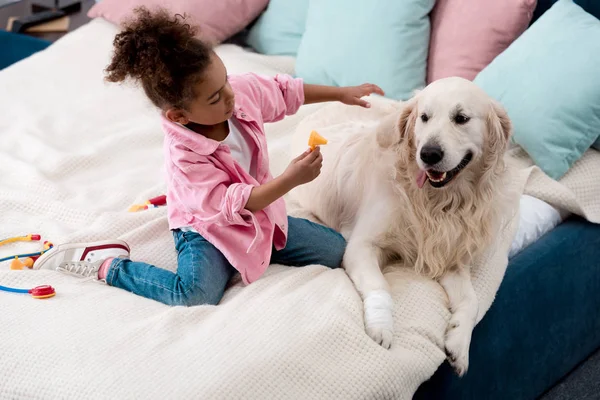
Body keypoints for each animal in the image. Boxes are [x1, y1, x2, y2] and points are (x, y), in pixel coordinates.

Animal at [290, 78, 510, 376]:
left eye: (461, 118)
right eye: (424, 117)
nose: (428, 154)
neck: (437, 203)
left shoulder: (449, 256)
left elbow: (472, 302)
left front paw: (459, 343)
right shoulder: (361, 245)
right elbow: (379, 285)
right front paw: (381, 325)